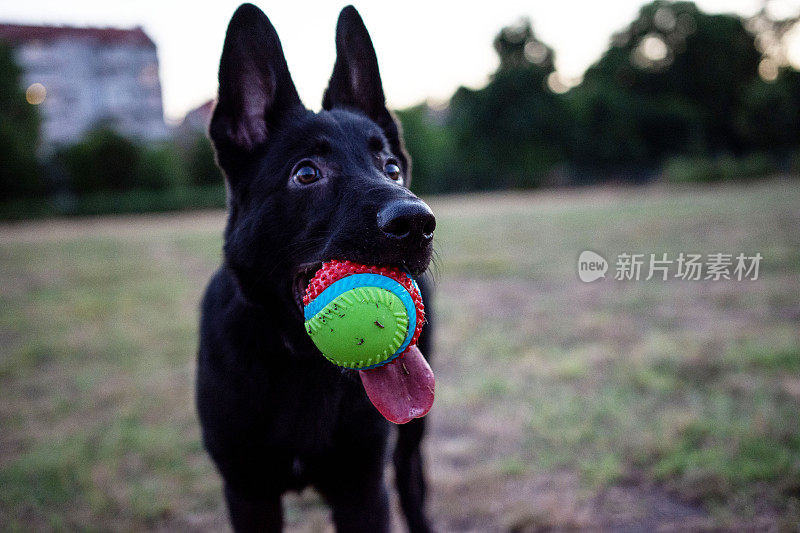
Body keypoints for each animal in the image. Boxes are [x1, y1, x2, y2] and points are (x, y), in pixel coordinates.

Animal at [198, 5, 438, 532]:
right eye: (306, 173)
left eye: (391, 168)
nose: (417, 223)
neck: (300, 364)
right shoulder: (247, 493)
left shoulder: (362, 490)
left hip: (410, 435)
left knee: (411, 480)